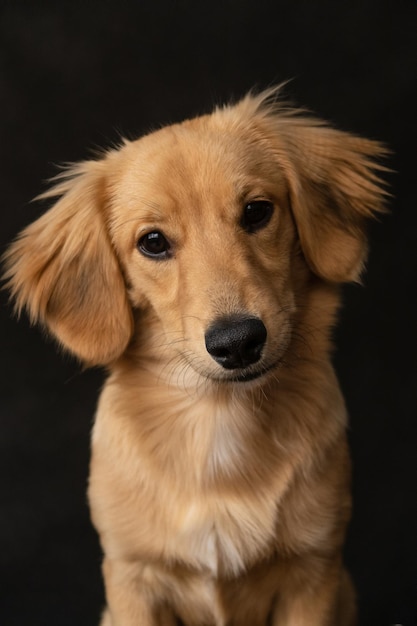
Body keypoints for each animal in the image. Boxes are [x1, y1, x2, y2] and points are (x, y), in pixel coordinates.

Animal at [4, 89, 386, 624]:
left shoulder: (313, 571)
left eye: (256, 211)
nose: (238, 341)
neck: (216, 416)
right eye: (153, 242)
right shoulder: (133, 577)